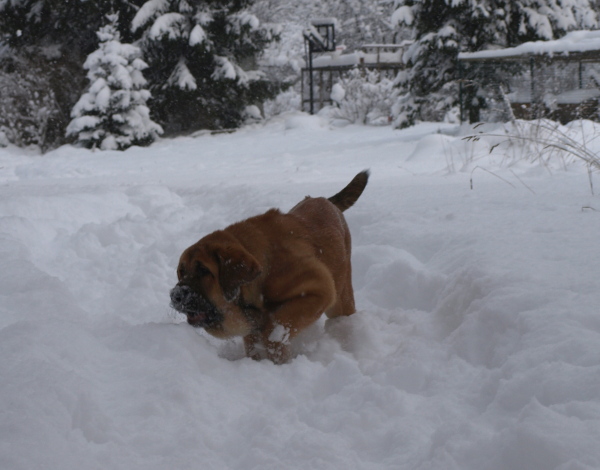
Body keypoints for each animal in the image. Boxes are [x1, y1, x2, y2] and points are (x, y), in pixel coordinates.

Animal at [166, 172, 368, 364]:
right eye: (181, 272)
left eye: (203, 270)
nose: (175, 295)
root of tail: (325, 200)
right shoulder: (252, 326)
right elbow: (254, 343)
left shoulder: (319, 288)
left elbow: (276, 327)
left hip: (340, 301)